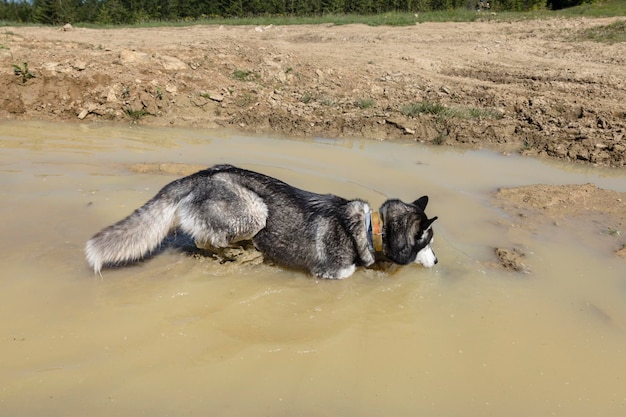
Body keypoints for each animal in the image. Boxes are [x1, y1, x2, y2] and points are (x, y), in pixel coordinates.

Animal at [83, 164, 436, 278]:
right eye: (429, 240)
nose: (436, 262)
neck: (369, 229)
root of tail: (202, 174)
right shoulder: (332, 273)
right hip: (255, 212)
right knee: (207, 240)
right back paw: (242, 254)